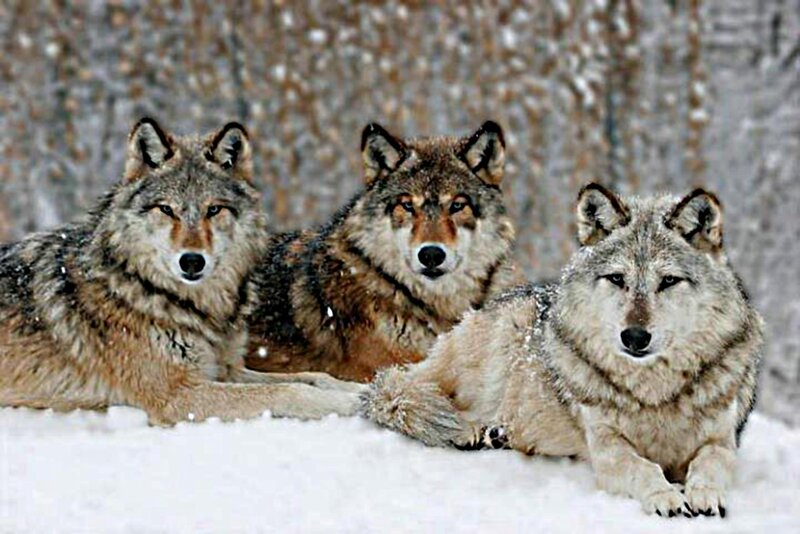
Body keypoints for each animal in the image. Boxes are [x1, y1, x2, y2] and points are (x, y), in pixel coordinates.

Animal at [0, 118, 364, 426]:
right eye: (167, 210)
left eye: (213, 210)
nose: (191, 261)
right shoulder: (178, 395)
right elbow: (290, 391)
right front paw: (352, 404)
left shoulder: (225, 369)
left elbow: (315, 377)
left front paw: (360, 389)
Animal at [364, 183, 764, 517]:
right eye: (617, 279)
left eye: (668, 281)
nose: (634, 337)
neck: (653, 393)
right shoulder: (607, 447)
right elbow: (643, 467)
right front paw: (664, 496)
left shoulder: (721, 441)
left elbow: (709, 465)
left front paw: (705, 494)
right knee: (407, 390)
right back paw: (470, 430)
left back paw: (496, 434)